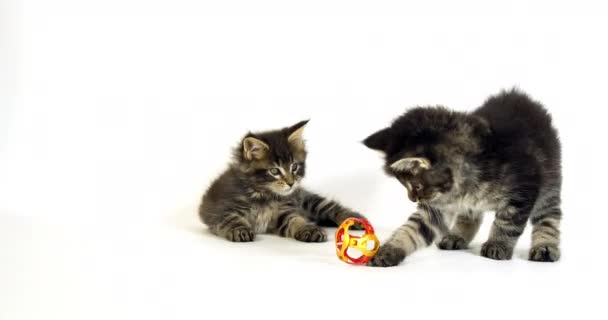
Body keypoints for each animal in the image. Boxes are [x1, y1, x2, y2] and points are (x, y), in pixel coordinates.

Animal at [200, 120, 366, 242]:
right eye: (274, 171)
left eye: (294, 167)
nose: (291, 183)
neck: (263, 194)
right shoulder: (221, 209)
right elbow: (231, 219)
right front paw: (240, 230)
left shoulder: (284, 212)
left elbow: (296, 220)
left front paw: (309, 229)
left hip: (309, 201)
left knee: (330, 207)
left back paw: (354, 219)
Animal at [364, 89, 564, 266]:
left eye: (416, 185)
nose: (412, 199)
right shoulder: (436, 207)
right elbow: (412, 230)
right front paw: (389, 251)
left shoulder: (524, 188)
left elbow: (507, 223)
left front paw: (497, 245)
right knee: (470, 215)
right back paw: (457, 235)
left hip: (550, 184)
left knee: (549, 217)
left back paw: (545, 247)